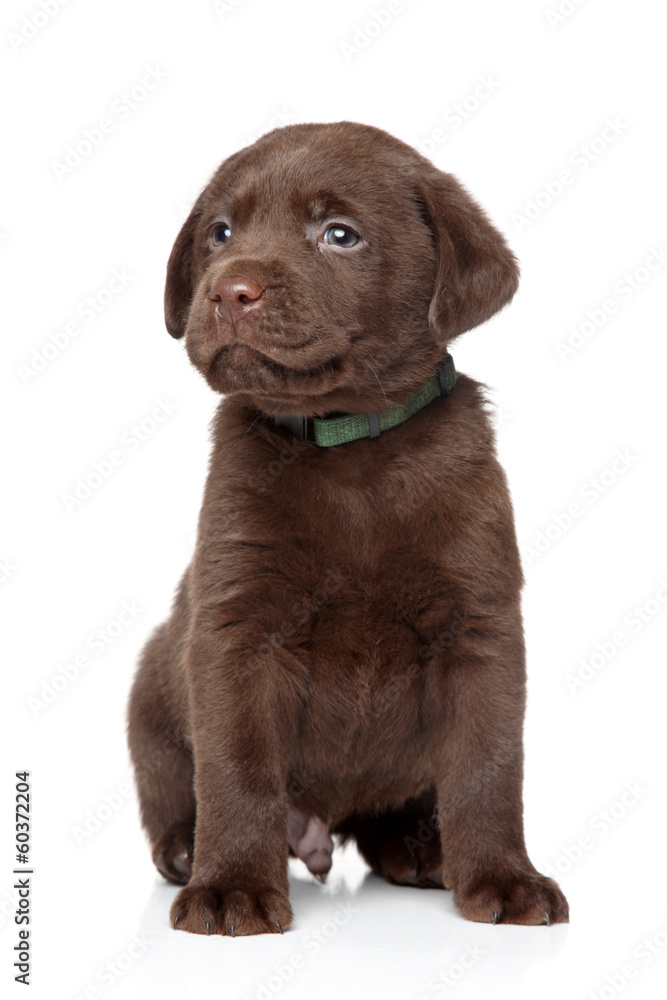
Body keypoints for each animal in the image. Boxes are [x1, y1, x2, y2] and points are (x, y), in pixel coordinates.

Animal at [129, 121, 568, 932]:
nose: (227, 290)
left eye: (340, 234)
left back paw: (422, 849)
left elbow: (488, 769)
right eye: (220, 232)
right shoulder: (236, 628)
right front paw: (231, 887)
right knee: (175, 789)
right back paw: (187, 849)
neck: (348, 447)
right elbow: (237, 766)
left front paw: (503, 877)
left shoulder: (481, 627)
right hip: (150, 691)